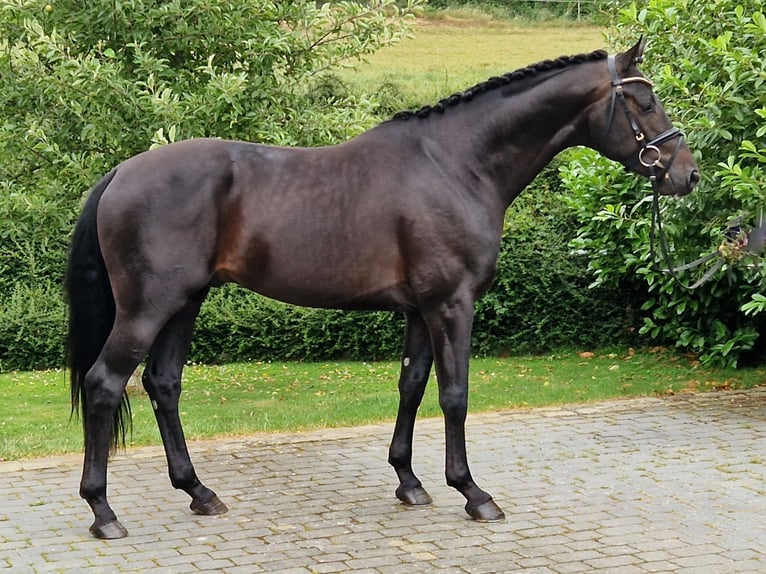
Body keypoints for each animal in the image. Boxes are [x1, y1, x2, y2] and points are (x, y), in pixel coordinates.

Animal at [67, 39, 704, 540]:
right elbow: (455, 395)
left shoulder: (420, 309)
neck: (457, 164)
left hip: (185, 303)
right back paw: (103, 512)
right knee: (104, 385)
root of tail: (122, 172)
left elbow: (412, 385)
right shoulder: (452, 304)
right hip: (148, 308)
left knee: (163, 384)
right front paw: (473, 493)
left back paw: (199, 493)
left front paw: (409, 481)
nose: (687, 174)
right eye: (644, 101)